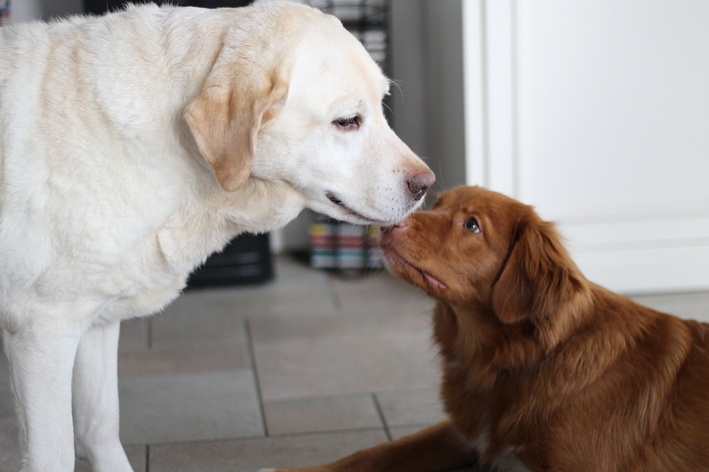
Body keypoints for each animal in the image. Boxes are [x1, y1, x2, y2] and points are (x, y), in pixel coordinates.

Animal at [0, 1, 434, 470]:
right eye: (347, 121)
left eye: (383, 104)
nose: (426, 184)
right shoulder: (42, 330)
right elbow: (55, 452)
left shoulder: (96, 319)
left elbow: (100, 426)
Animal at [262, 186, 708, 470]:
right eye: (436, 202)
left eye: (472, 226)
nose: (390, 225)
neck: (516, 359)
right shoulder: (465, 430)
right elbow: (378, 452)